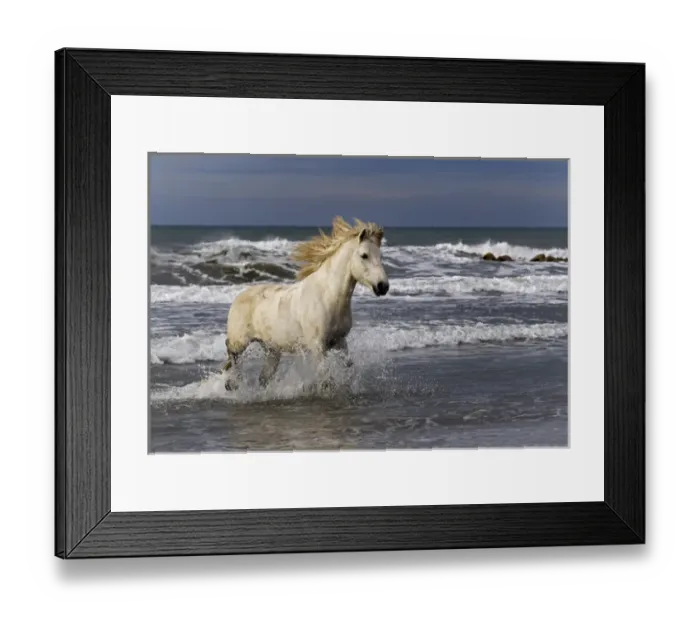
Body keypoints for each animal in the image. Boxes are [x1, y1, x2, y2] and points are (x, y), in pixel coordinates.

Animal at [222, 216, 390, 391]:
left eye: (380, 256)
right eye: (364, 255)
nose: (383, 286)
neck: (328, 296)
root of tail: (238, 298)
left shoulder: (340, 341)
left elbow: (348, 368)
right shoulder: (317, 346)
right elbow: (326, 377)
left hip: (272, 350)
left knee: (263, 378)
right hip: (240, 342)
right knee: (231, 352)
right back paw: (232, 383)